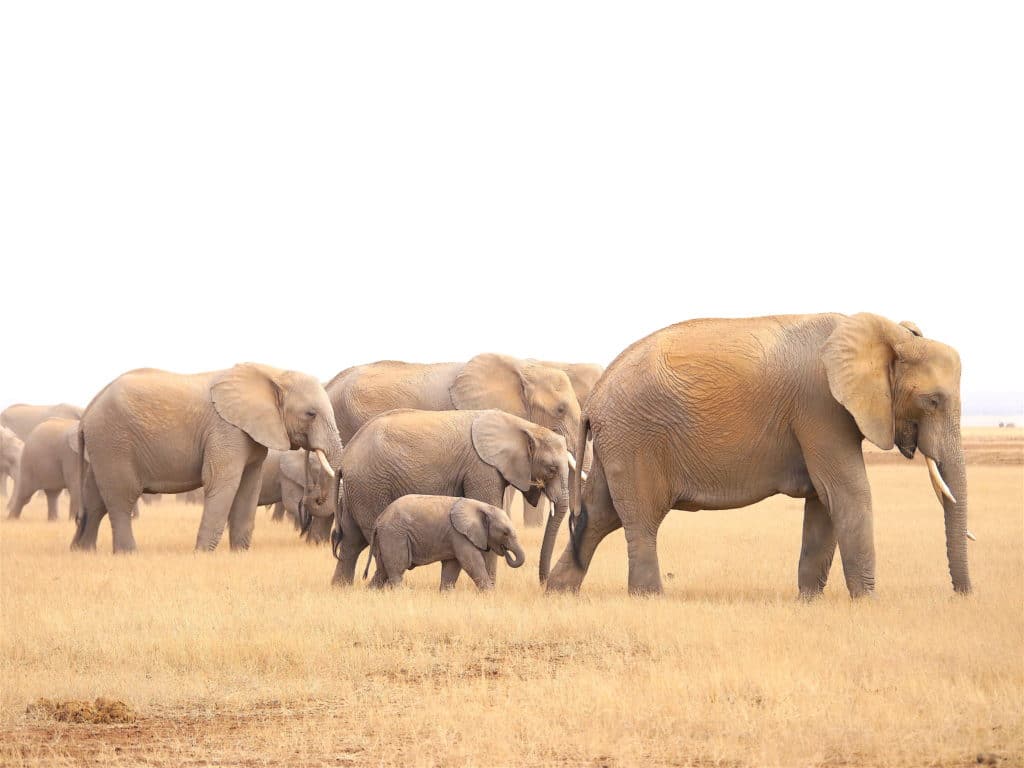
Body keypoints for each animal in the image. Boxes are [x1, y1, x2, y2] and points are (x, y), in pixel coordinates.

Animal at [73, 364, 344, 552]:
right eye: (310, 414)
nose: (312, 495)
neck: (273, 373)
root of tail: (88, 410)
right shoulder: (226, 430)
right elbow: (222, 483)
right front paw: (202, 554)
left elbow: (249, 488)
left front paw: (240, 554)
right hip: (113, 442)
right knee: (121, 497)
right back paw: (128, 553)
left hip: (104, 447)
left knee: (95, 501)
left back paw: (83, 551)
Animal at [362, 495, 524, 593]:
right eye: (505, 533)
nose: (506, 551)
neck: (483, 507)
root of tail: (379, 518)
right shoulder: (459, 534)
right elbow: (472, 563)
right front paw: (490, 594)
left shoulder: (455, 537)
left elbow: (452, 566)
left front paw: (445, 595)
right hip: (394, 535)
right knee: (397, 569)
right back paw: (400, 594)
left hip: (385, 537)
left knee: (382, 570)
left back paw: (370, 593)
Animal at [540, 313, 970, 602]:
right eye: (933, 401)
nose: (962, 595)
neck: (889, 334)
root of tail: (595, 397)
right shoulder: (821, 407)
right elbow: (848, 493)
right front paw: (868, 604)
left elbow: (824, 501)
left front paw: (808, 602)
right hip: (636, 440)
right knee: (641, 520)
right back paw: (650, 599)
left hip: (618, 443)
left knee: (599, 515)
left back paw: (559, 594)